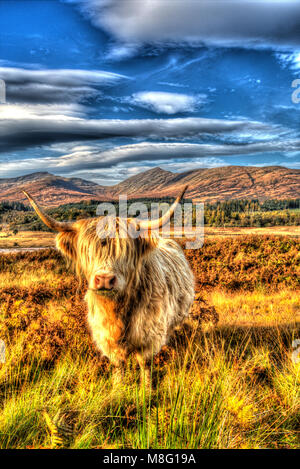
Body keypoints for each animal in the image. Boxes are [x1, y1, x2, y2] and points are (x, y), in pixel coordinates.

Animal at [24, 188, 196, 382]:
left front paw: (147, 387)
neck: (117, 309)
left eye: (125, 250)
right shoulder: (105, 334)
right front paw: (117, 386)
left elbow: (144, 363)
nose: (105, 279)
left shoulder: (149, 333)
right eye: (88, 250)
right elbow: (118, 364)